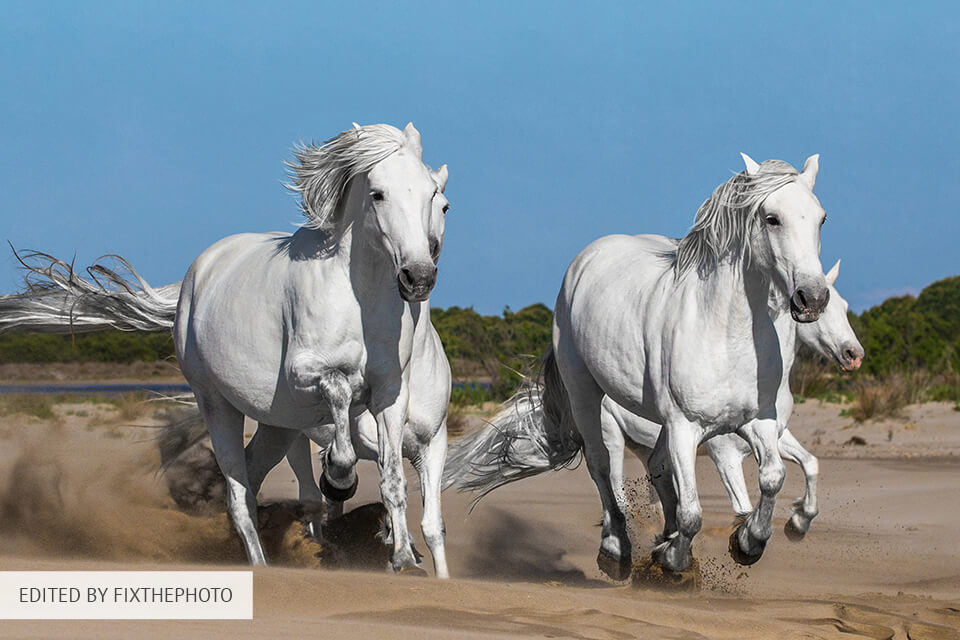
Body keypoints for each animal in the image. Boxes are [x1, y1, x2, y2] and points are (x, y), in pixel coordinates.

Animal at [2, 123, 447, 573]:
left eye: (435, 196)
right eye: (378, 193)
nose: (418, 277)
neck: (358, 297)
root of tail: (197, 274)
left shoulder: (389, 393)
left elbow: (393, 480)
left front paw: (404, 559)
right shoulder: (305, 374)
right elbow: (339, 396)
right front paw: (339, 478)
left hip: (277, 423)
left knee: (250, 478)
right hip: (217, 405)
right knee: (239, 495)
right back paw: (261, 563)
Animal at [444, 153, 831, 576]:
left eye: (821, 218)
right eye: (772, 218)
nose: (812, 297)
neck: (727, 333)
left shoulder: (757, 420)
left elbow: (773, 477)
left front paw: (748, 542)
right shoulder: (686, 427)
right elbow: (693, 512)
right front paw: (675, 559)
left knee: (658, 467)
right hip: (588, 397)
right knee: (602, 467)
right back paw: (616, 549)